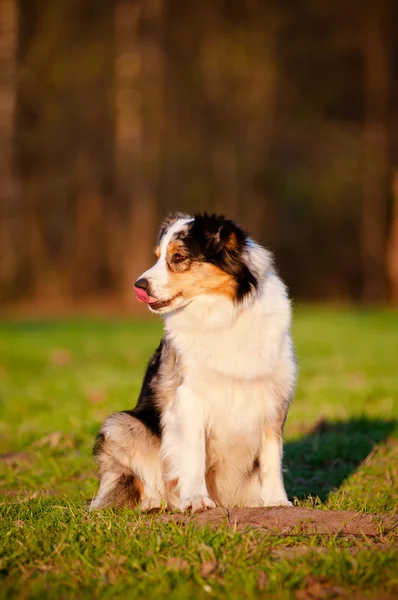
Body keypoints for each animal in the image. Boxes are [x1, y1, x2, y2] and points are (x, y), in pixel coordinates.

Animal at [90, 211, 296, 510]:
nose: (138, 286)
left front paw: (277, 501)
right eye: (157, 256)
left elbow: (272, 456)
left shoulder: (273, 397)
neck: (223, 314)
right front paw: (197, 499)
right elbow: (194, 453)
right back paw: (154, 503)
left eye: (178, 257)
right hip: (122, 424)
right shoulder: (189, 396)